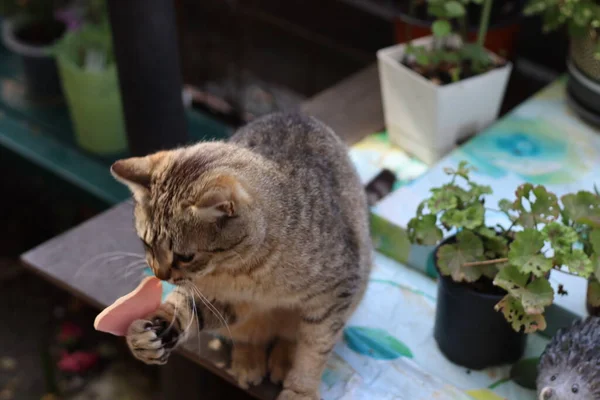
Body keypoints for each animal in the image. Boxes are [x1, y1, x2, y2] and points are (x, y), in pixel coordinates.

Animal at [109, 112, 368, 400]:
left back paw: (282, 359)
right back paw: (249, 360)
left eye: (185, 257)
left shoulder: (336, 293)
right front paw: (150, 333)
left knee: (291, 336)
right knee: (247, 336)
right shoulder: (219, 299)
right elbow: (182, 308)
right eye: (146, 243)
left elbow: (314, 348)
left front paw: (301, 390)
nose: (158, 274)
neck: (242, 269)